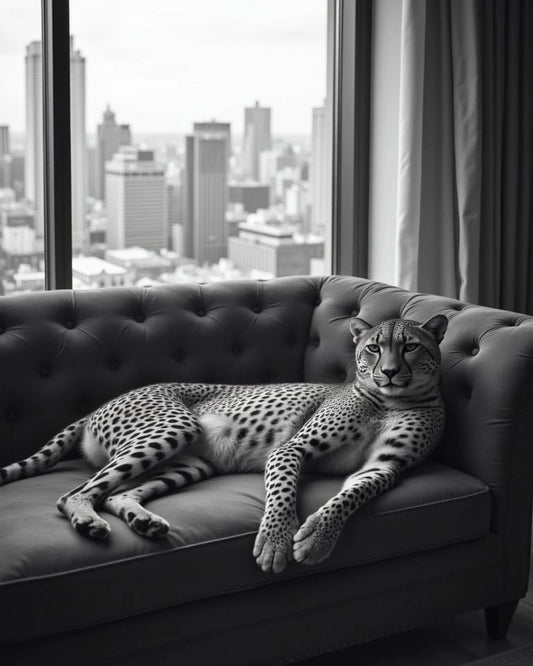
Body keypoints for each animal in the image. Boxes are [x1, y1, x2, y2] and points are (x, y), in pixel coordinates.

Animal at [0, 314, 448, 574]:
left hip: (191, 462)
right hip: (172, 429)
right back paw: (87, 522)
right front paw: (276, 541)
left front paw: (317, 536)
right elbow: (283, 494)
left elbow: (350, 497)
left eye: (410, 346)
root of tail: (101, 404)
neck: (391, 400)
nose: (389, 372)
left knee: (115, 493)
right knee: (74, 493)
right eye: (373, 347)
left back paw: (143, 521)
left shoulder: (384, 466)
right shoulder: (291, 449)